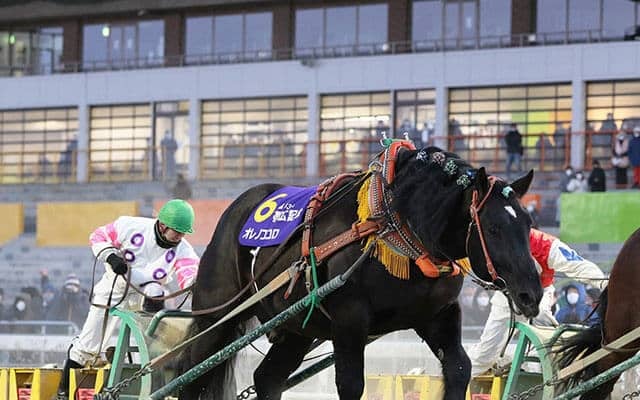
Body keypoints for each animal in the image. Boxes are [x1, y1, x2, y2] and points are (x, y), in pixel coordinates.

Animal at [181, 144, 542, 400]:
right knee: (191, 375)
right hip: (216, 317)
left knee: (268, 379)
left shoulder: (437, 315)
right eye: (494, 228)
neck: (396, 225)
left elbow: (458, 369)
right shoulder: (349, 319)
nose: (531, 293)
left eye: (528, 224)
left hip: (297, 327)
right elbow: (352, 384)